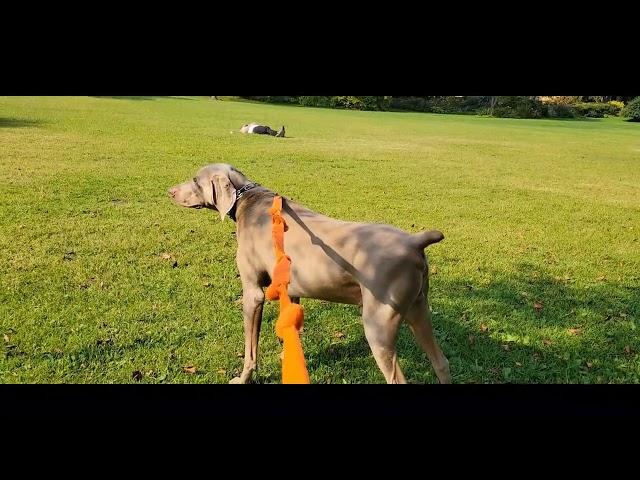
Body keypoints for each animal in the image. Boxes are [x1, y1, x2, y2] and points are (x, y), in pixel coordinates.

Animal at [170, 163, 450, 384]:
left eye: (195, 180)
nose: (169, 192)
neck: (247, 200)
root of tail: (414, 242)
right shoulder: (291, 289)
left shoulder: (253, 293)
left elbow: (250, 349)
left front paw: (243, 377)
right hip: (418, 309)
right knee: (441, 362)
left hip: (378, 322)